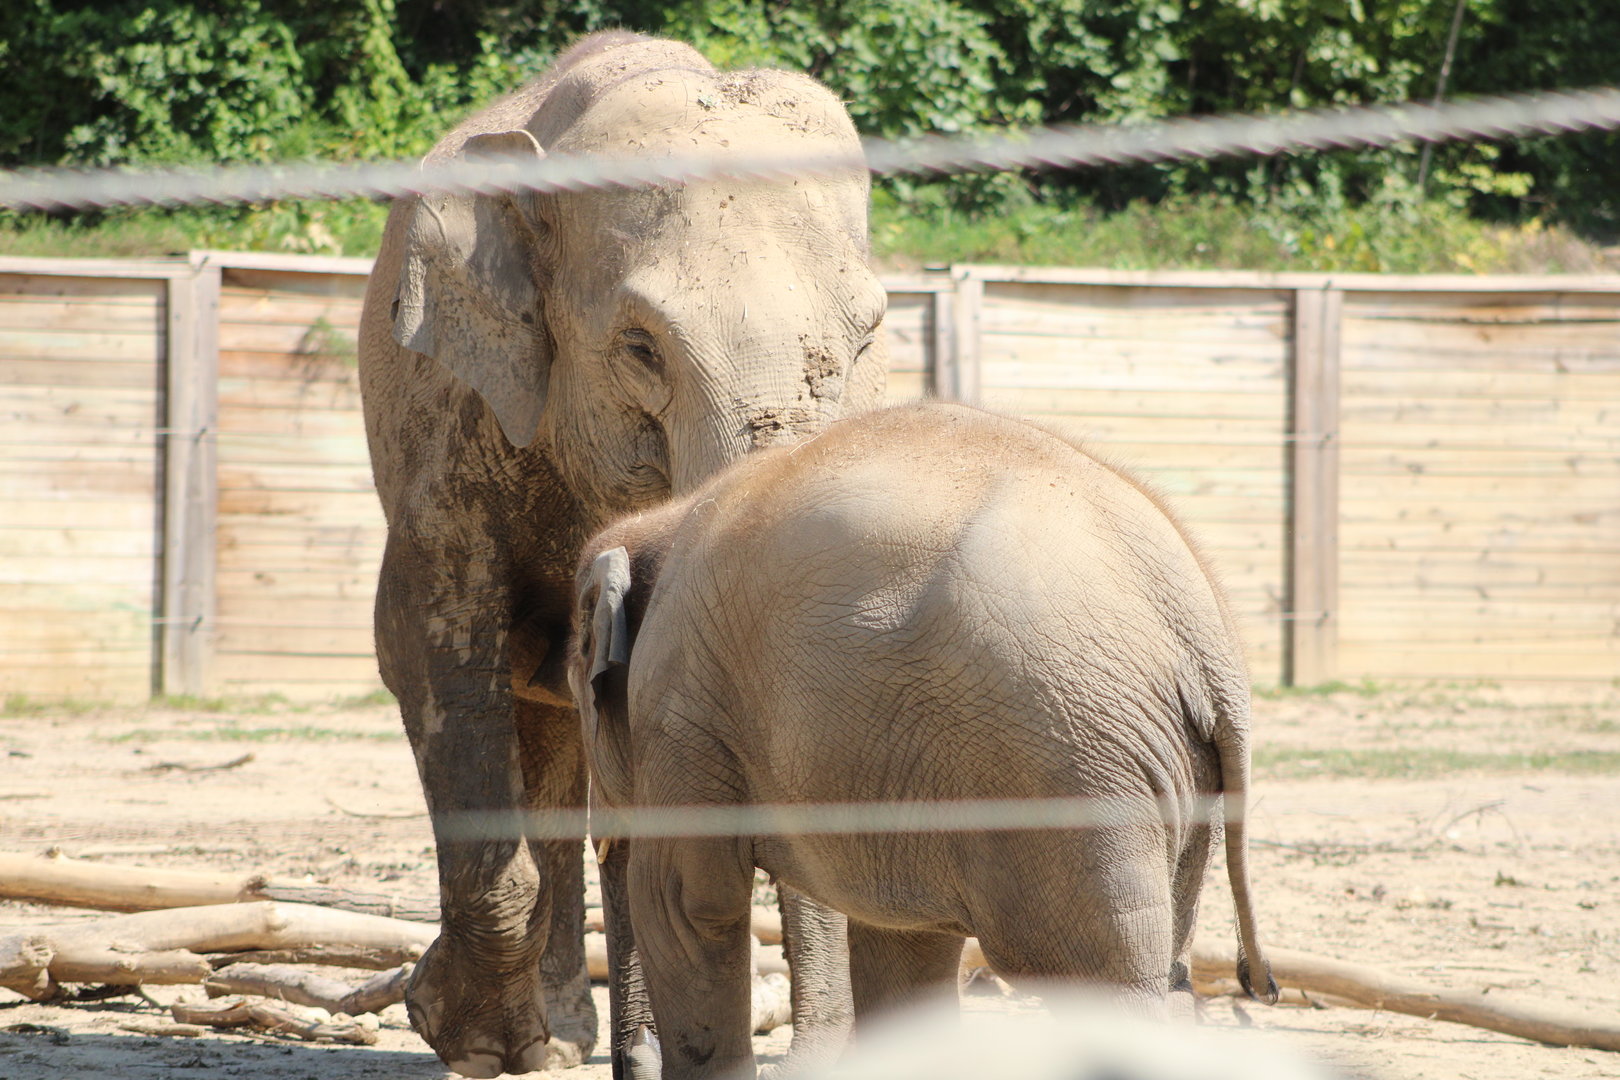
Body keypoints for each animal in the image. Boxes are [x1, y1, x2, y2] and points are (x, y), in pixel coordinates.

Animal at [357, 31, 889, 1078]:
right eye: (641, 348)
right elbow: (428, 653)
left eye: (865, 340)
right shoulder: (458, 418)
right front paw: (459, 1029)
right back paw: (555, 1039)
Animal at [568, 402, 1279, 1080]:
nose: (635, 1058)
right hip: (1168, 775)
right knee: (1170, 969)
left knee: (1102, 982)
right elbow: (904, 942)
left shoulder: (680, 705)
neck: (661, 521)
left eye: (583, 685)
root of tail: (1205, 628)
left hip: (1072, 770)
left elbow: (686, 903)